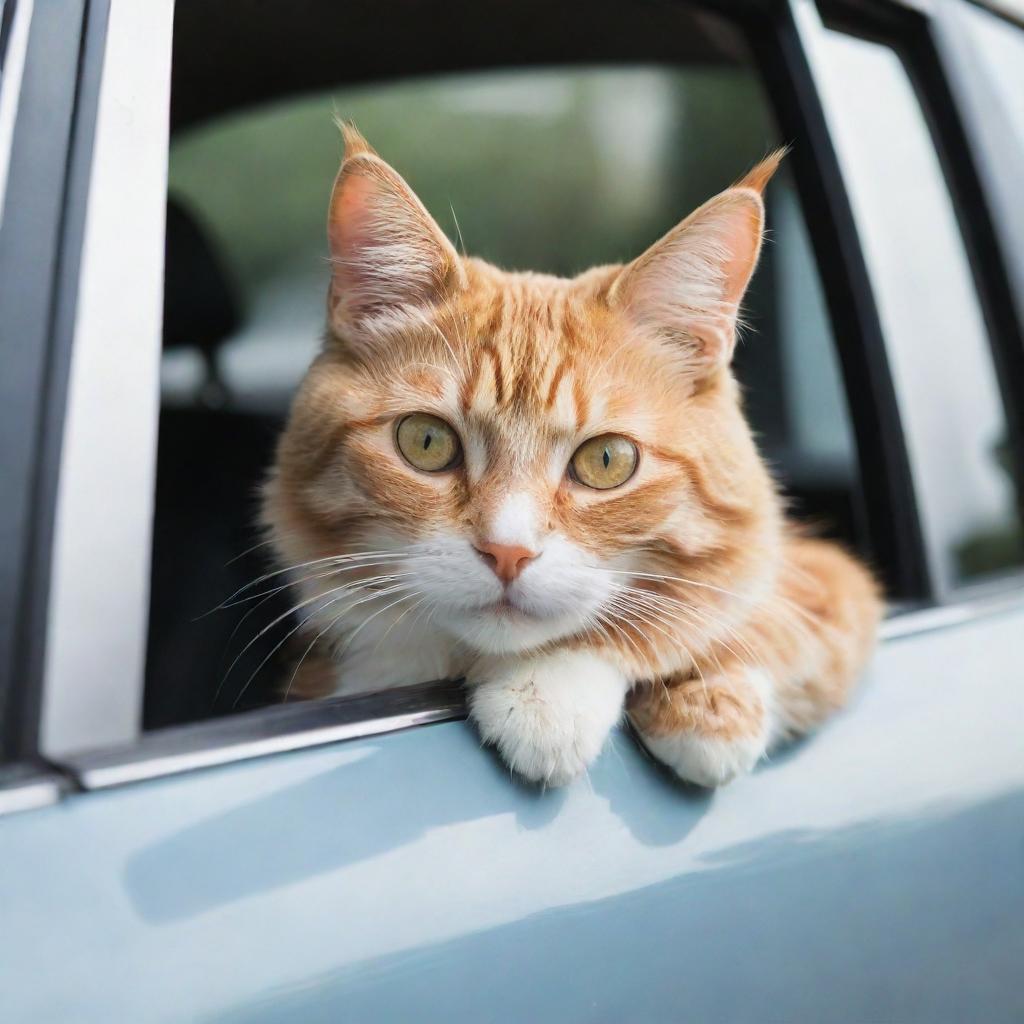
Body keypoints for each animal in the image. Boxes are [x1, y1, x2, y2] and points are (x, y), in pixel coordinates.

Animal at [262, 123, 880, 786]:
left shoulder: (824, 578)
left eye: (606, 461)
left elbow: (724, 616)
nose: (507, 553)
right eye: (426, 442)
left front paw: (553, 689)